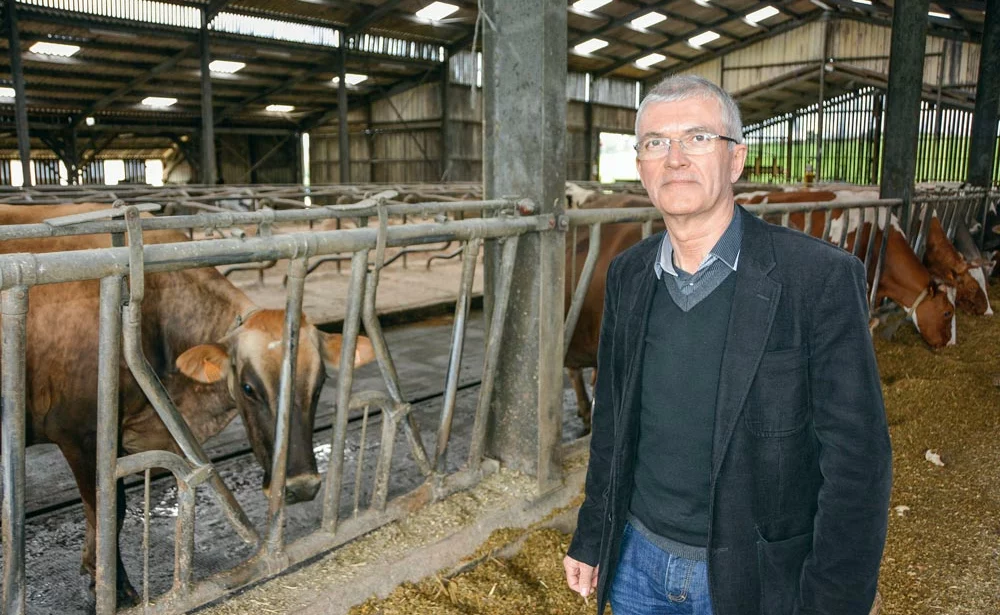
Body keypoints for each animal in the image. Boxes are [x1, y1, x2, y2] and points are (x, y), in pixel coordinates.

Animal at [0, 203, 376, 608]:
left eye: (320, 383)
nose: (302, 485)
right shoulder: (82, 434)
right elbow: (107, 510)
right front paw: (115, 589)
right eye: (248, 388)